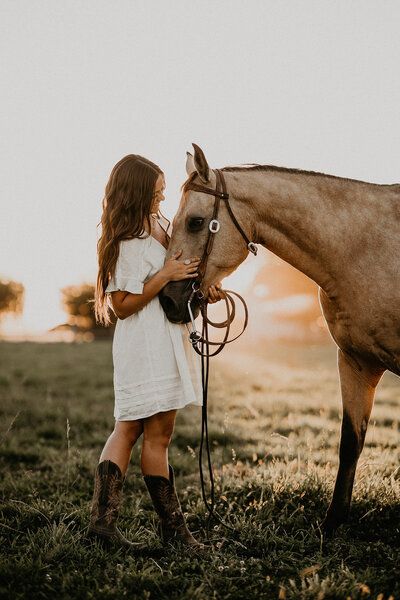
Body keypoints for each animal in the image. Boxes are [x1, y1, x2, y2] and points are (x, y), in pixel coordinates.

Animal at [158, 144, 398, 536]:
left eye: (194, 221)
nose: (168, 300)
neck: (365, 249)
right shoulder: (355, 362)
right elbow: (350, 442)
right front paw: (333, 522)